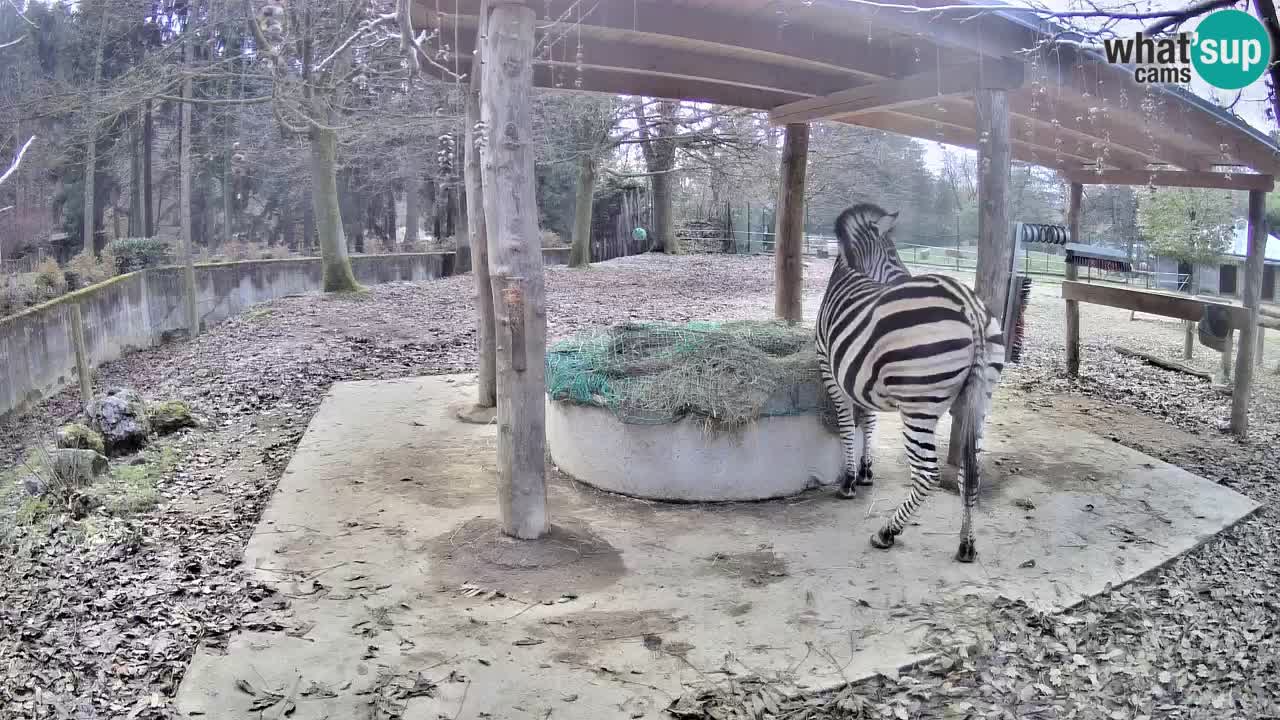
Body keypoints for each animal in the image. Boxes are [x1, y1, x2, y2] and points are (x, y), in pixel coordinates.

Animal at [814, 199, 1003, 561]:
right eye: (892, 254)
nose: (904, 278)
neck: (849, 272)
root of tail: (970, 307)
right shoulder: (861, 378)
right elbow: (868, 422)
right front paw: (866, 471)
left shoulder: (831, 370)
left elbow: (847, 424)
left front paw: (849, 480)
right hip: (981, 398)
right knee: (971, 472)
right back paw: (967, 543)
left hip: (919, 404)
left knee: (927, 474)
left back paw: (887, 532)